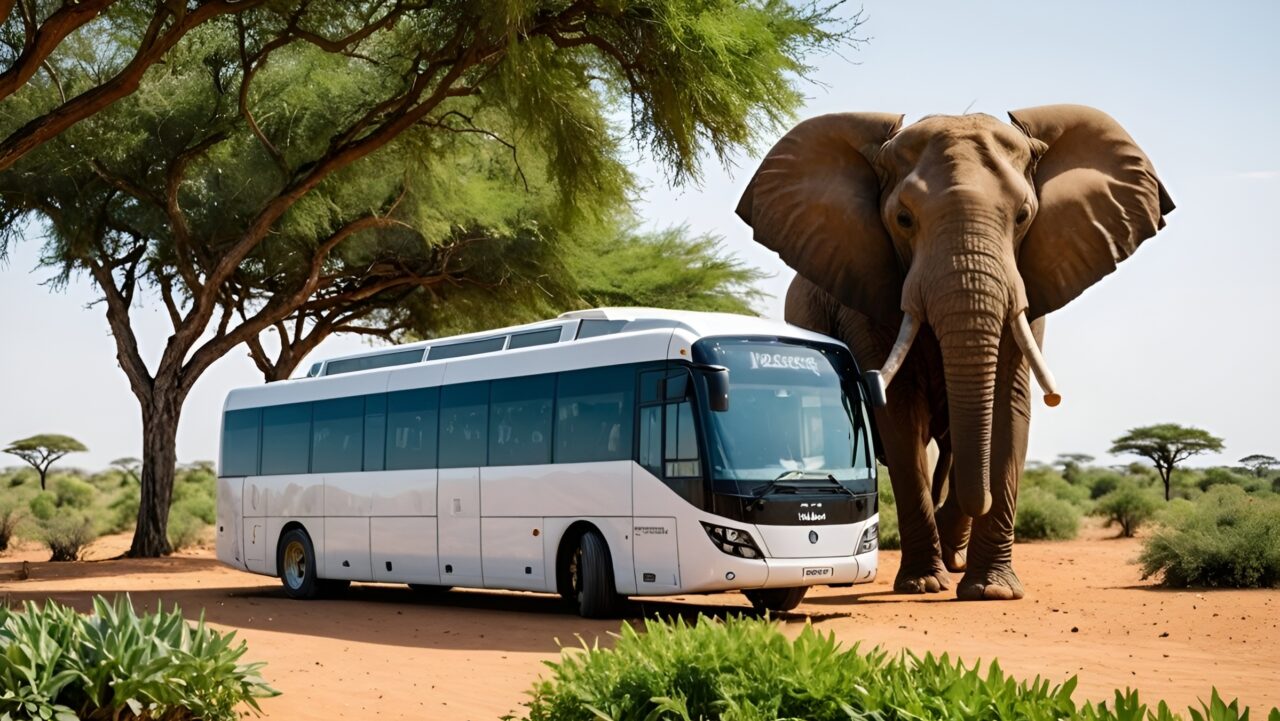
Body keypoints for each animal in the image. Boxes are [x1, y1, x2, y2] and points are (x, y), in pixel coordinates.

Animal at [742, 104, 1172, 601]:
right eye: (903, 219)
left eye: (1024, 216)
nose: (1057, 398)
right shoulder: (866, 291)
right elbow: (899, 411)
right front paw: (923, 584)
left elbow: (1008, 407)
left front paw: (991, 590)